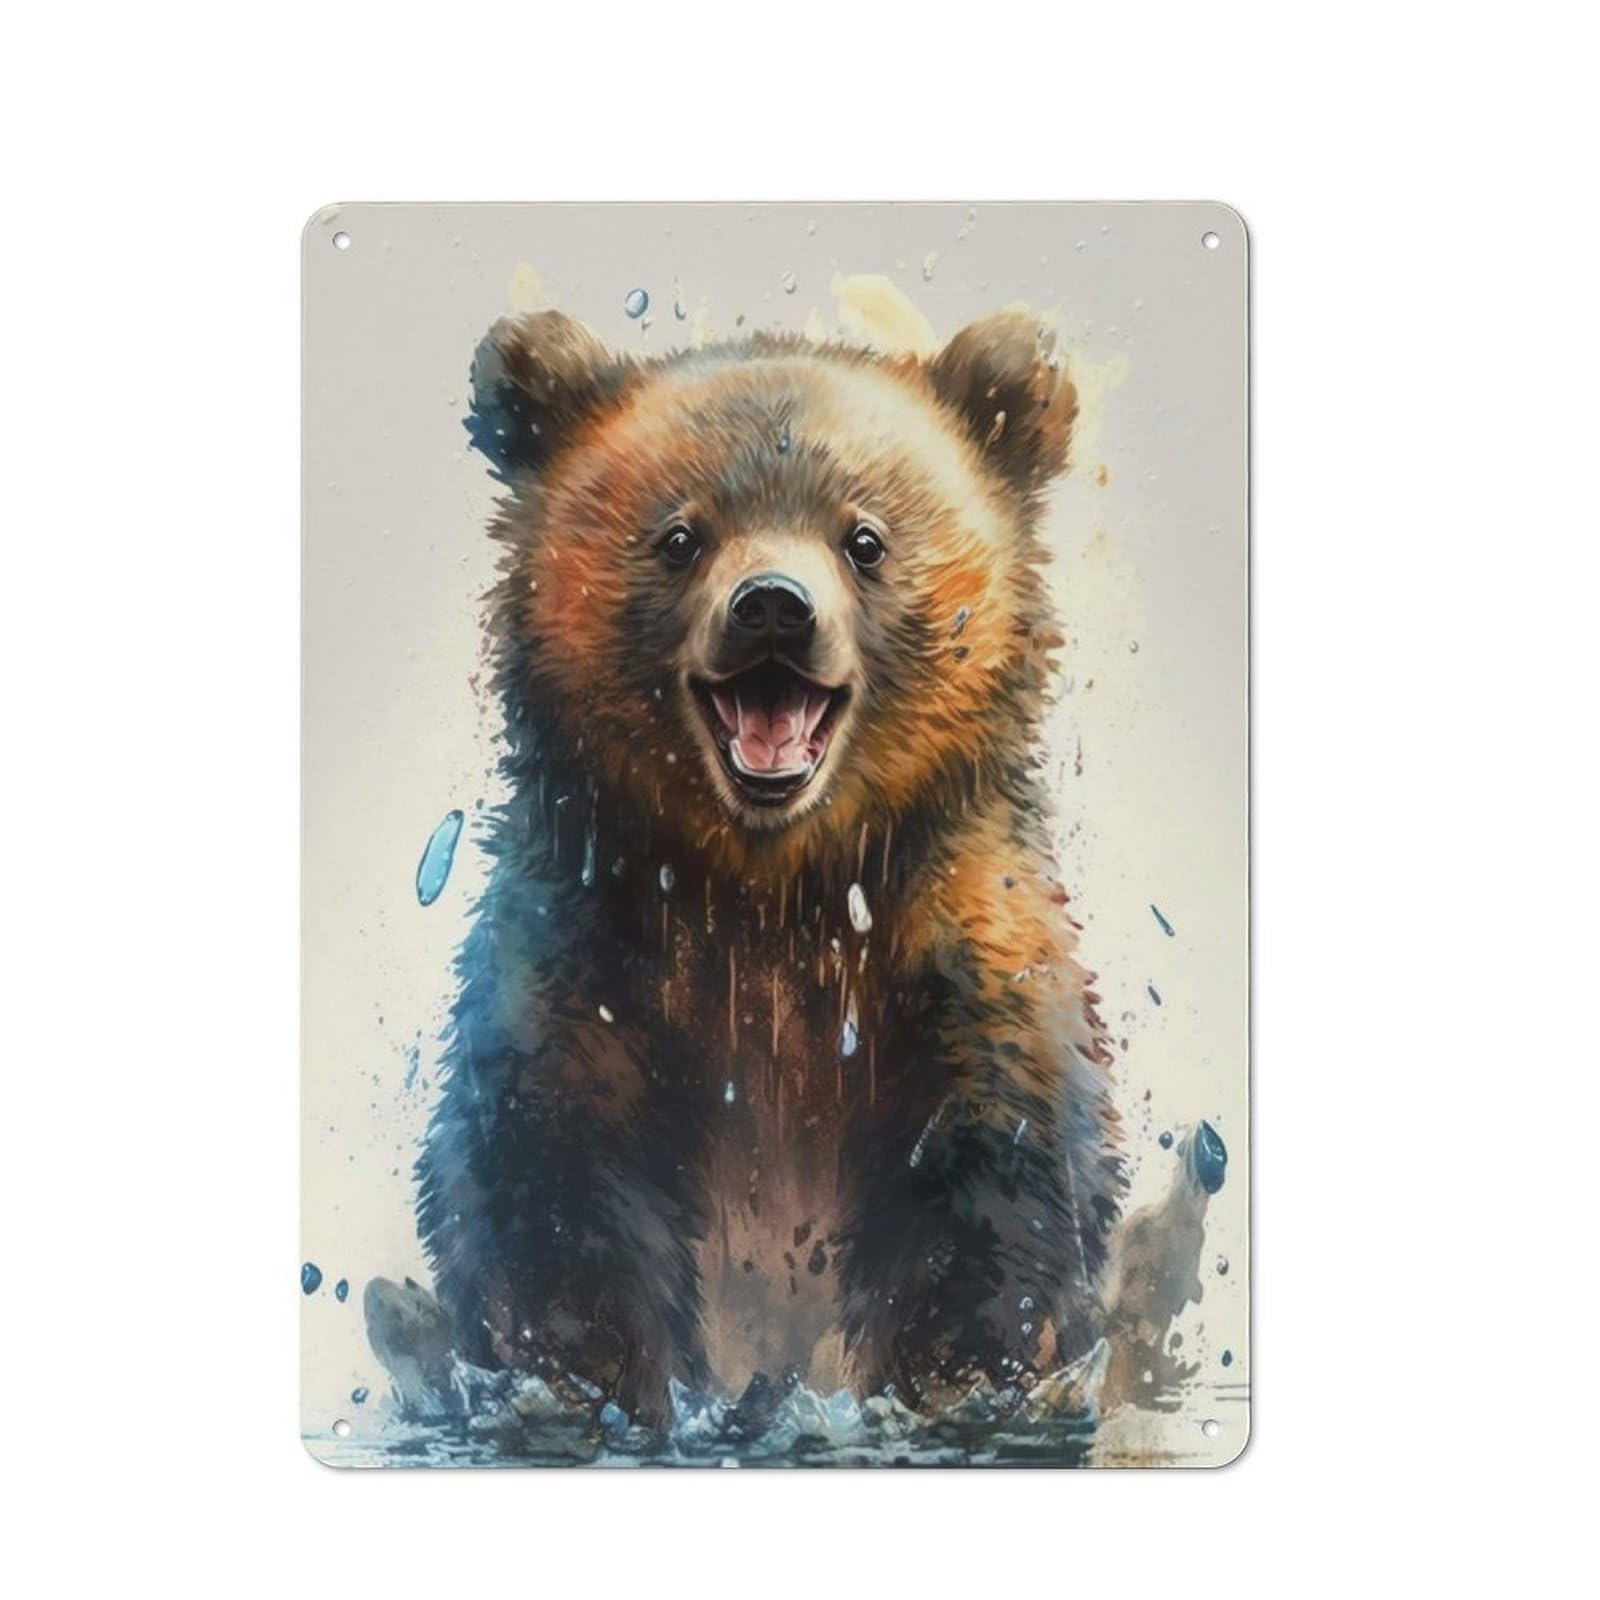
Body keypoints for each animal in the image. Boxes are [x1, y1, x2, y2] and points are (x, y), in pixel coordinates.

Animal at [409, 306, 1126, 1424]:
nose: (774, 607)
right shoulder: (587, 949)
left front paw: (953, 1369)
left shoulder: (961, 949)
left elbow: (1001, 1174)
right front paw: (587, 1373)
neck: (772, 893)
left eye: (864, 537)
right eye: (678, 535)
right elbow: (542, 1175)